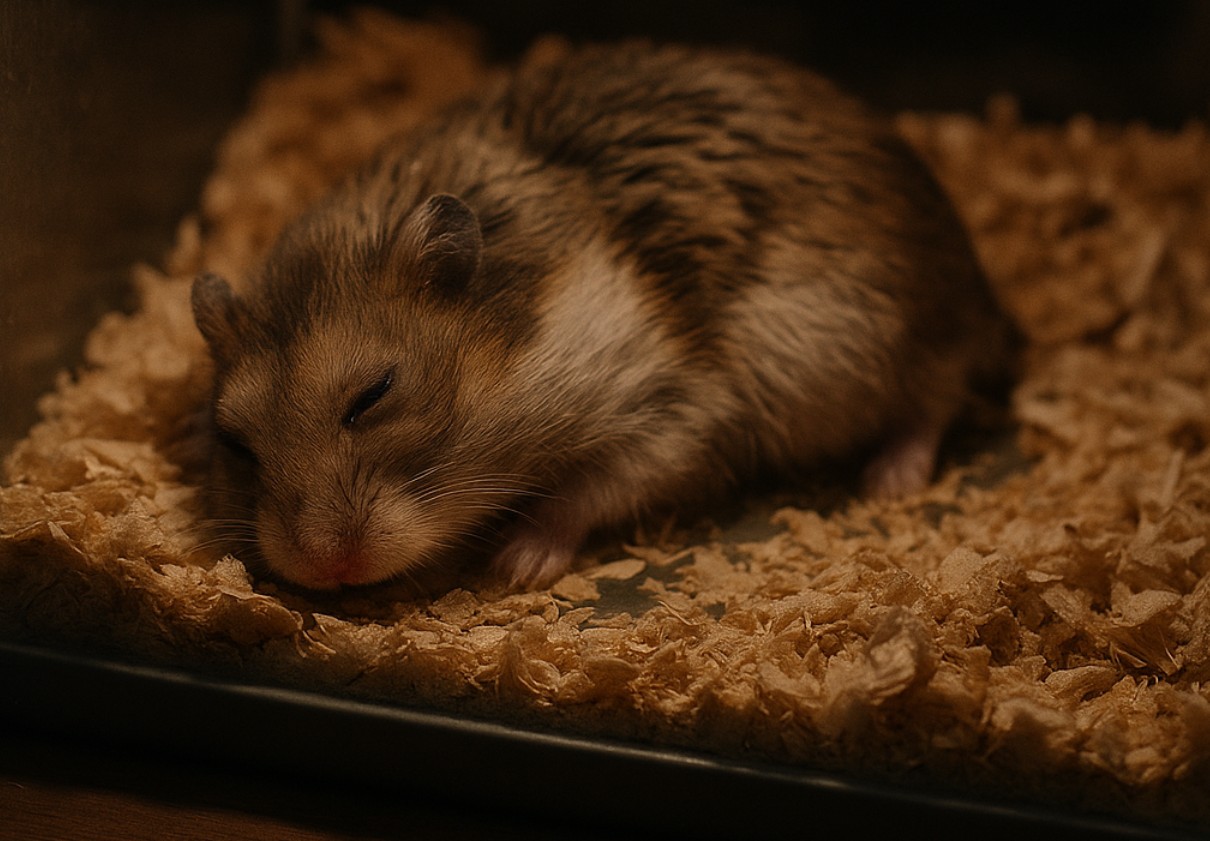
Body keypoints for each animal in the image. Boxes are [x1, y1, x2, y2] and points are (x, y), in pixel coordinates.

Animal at [191, 41, 1016, 592]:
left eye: (373, 395)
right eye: (234, 443)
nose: (323, 569)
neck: (524, 342)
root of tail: (986, 288)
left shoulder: (674, 410)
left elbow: (582, 492)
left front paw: (516, 565)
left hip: (888, 341)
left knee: (936, 397)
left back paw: (888, 482)